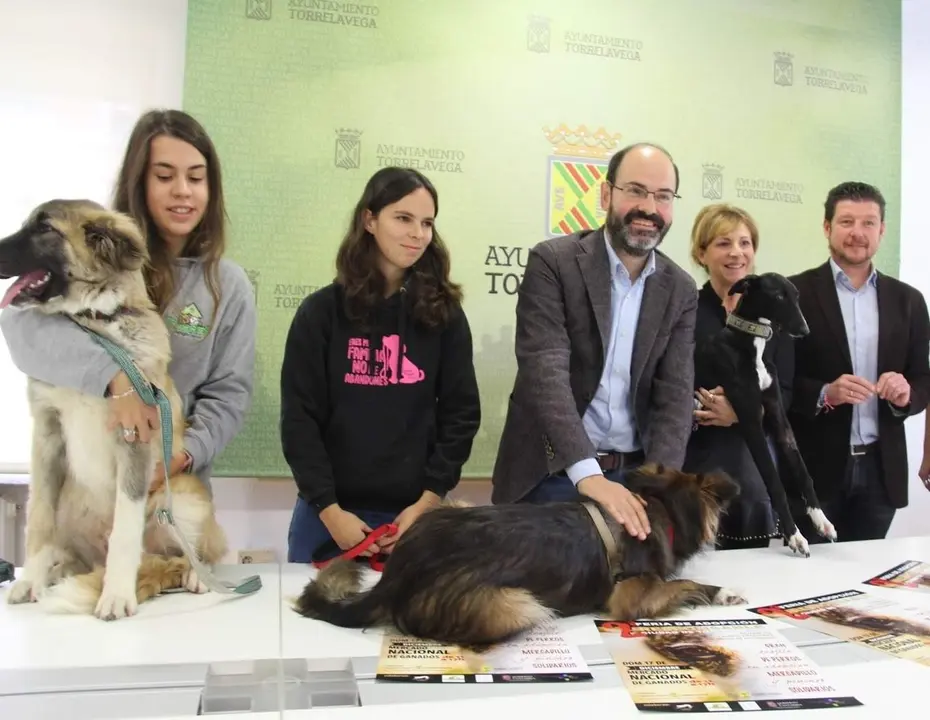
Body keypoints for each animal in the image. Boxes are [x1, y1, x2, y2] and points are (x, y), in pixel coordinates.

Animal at [0, 197, 227, 620]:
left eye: (45, 229)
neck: (96, 327)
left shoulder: (135, 438)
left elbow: (125, 528)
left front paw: (117, 595)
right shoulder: (47, 435)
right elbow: (38, 517)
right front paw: (30, 580)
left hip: (183, 499)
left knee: (195, 552)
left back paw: (196, 575)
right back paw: (58, 570)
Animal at [294, 464, 744, 648]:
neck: (660, 506)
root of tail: (393, 577)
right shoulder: (632, 595)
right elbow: (683, 583)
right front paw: (721, 592)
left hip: (448, 506)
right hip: (515, 604)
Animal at [692, 272, 836, 556]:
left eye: (796, 295)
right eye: (778, 295)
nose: (804, 330)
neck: (751, 344)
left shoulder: (778, 415)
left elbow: (803, 471)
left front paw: (821, 520)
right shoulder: (750, 420)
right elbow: (774, 481)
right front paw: (795, 535)